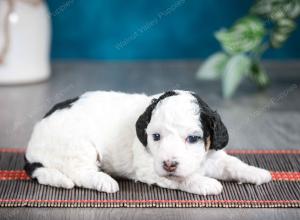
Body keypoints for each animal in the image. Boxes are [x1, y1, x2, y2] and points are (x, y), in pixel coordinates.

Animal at [24, 90, 270, 195]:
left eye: (193, 139)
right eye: (156, 137)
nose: (169, 164)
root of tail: (31, 149)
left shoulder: (213, 156)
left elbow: (233, 164)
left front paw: (256, 172)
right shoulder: (148, 169)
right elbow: (181, 178)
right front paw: (204, 183)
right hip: (78, 145)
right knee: (79, 173)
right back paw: (103, 180)